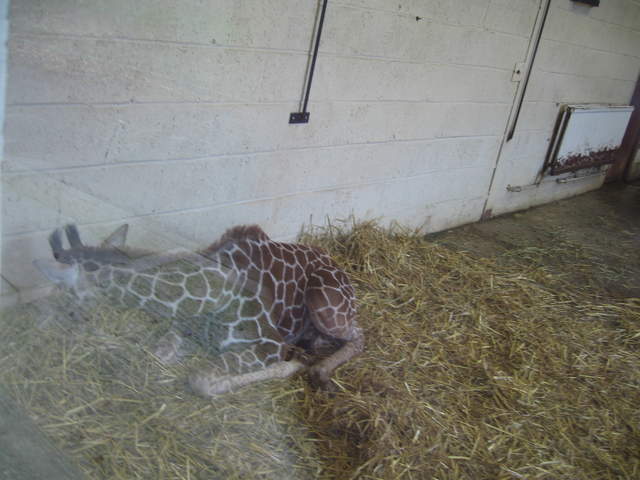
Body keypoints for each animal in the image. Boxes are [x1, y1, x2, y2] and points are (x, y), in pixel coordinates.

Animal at [33, 224, 364, 396]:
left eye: (68, 302)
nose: (41, 328)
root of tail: (332, 259)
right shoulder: (182, 330)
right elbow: (159, 356)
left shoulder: (270, 344)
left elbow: (201, 381)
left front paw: (293, 366)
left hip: (326, 306)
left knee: (359, 333)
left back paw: (320, 370)